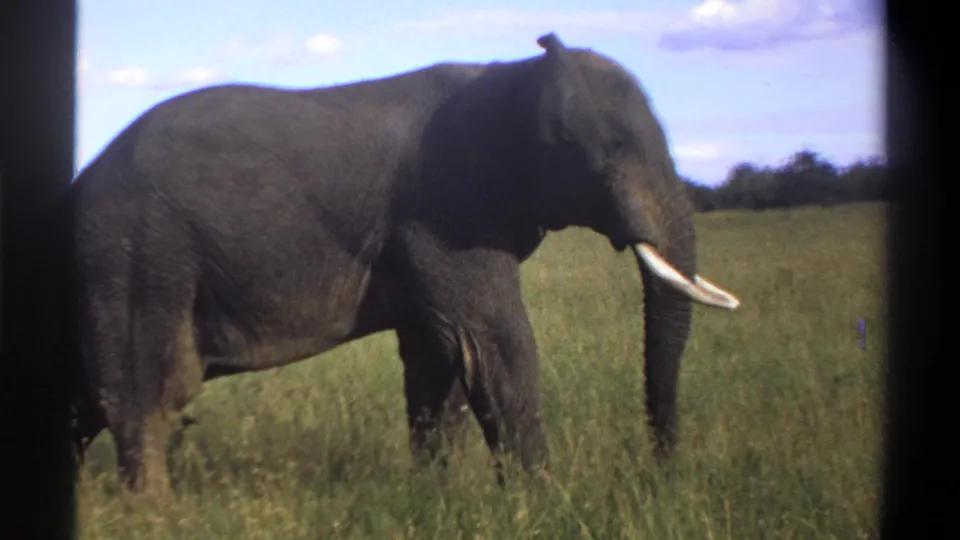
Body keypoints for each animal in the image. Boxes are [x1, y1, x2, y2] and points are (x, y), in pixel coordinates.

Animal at [66, 32, 740, 501]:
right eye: (613, 148)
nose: (661, 471)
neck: (513, 75)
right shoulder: (446, 209)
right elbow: (493, 344)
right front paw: (546, 506)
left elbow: (439, 359)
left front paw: (435, 499)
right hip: (136, 257)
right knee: (146, 396)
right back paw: (154, 514)